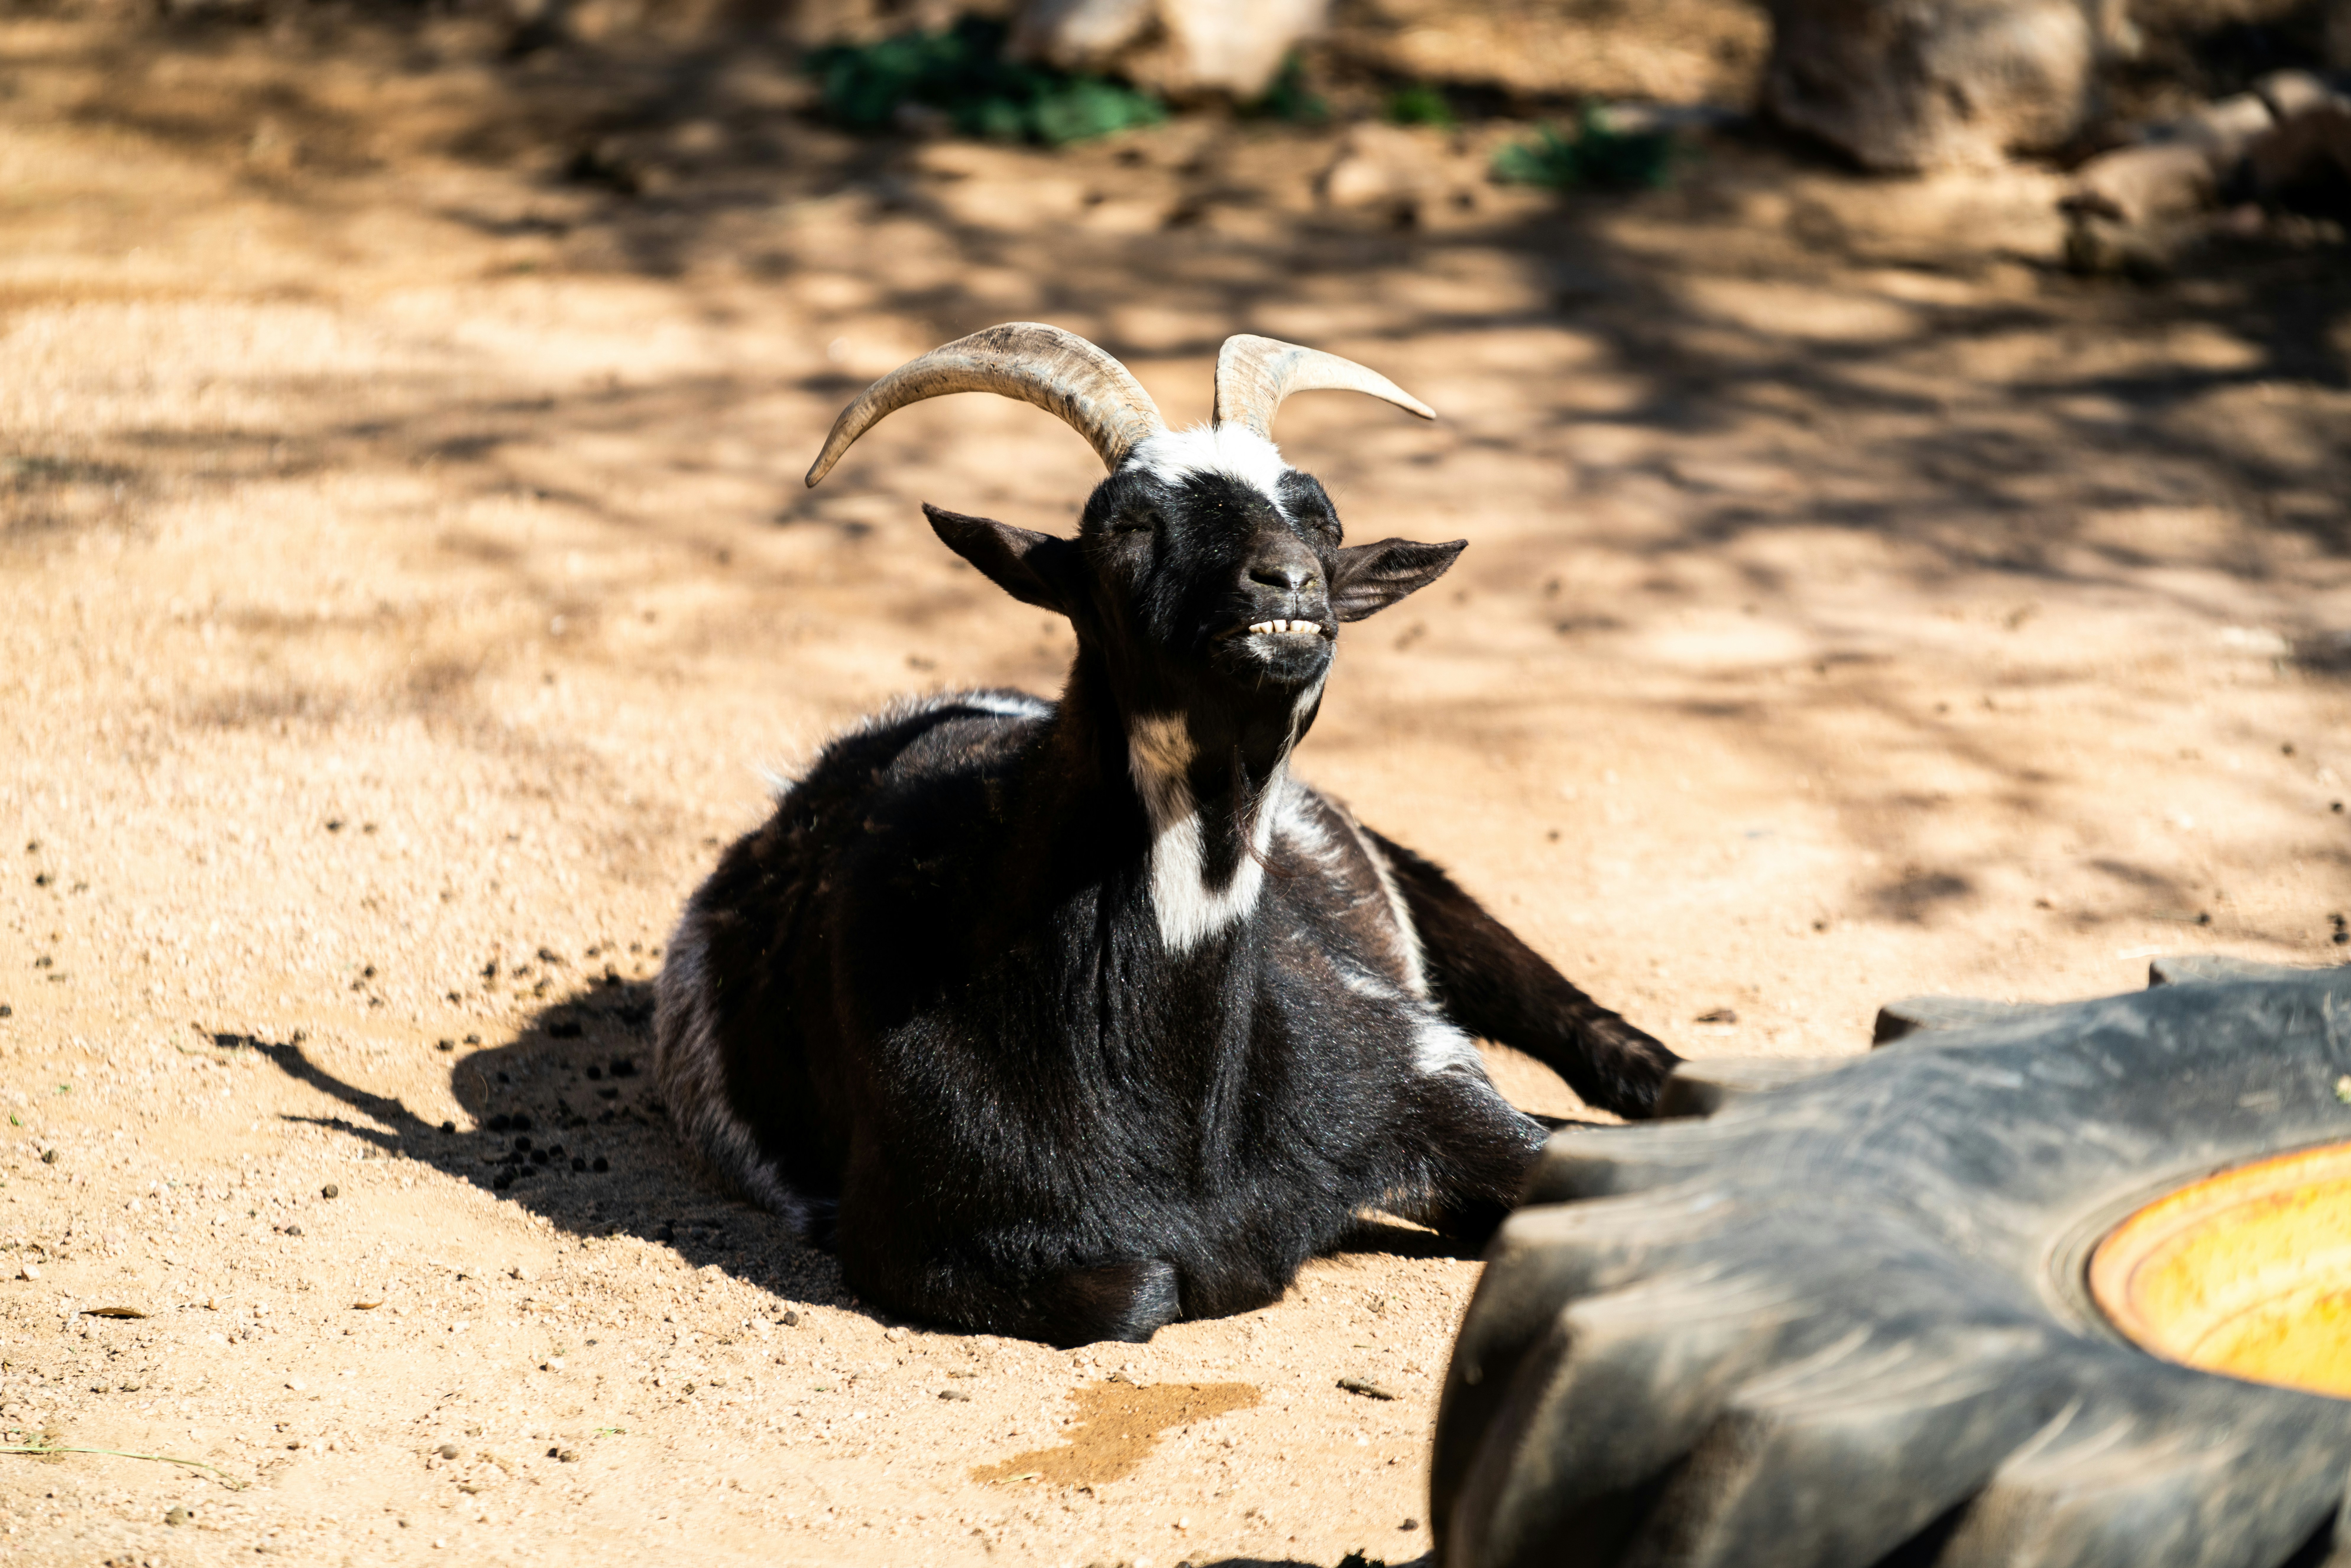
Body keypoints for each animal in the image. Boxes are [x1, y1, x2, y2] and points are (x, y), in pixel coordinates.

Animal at [654, 323, 1677, 1346]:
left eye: (1323, 520)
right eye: (1124, 529)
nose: (1291, 586)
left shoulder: (1416, 1071)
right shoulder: (911, 1236)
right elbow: (1145, 1288)